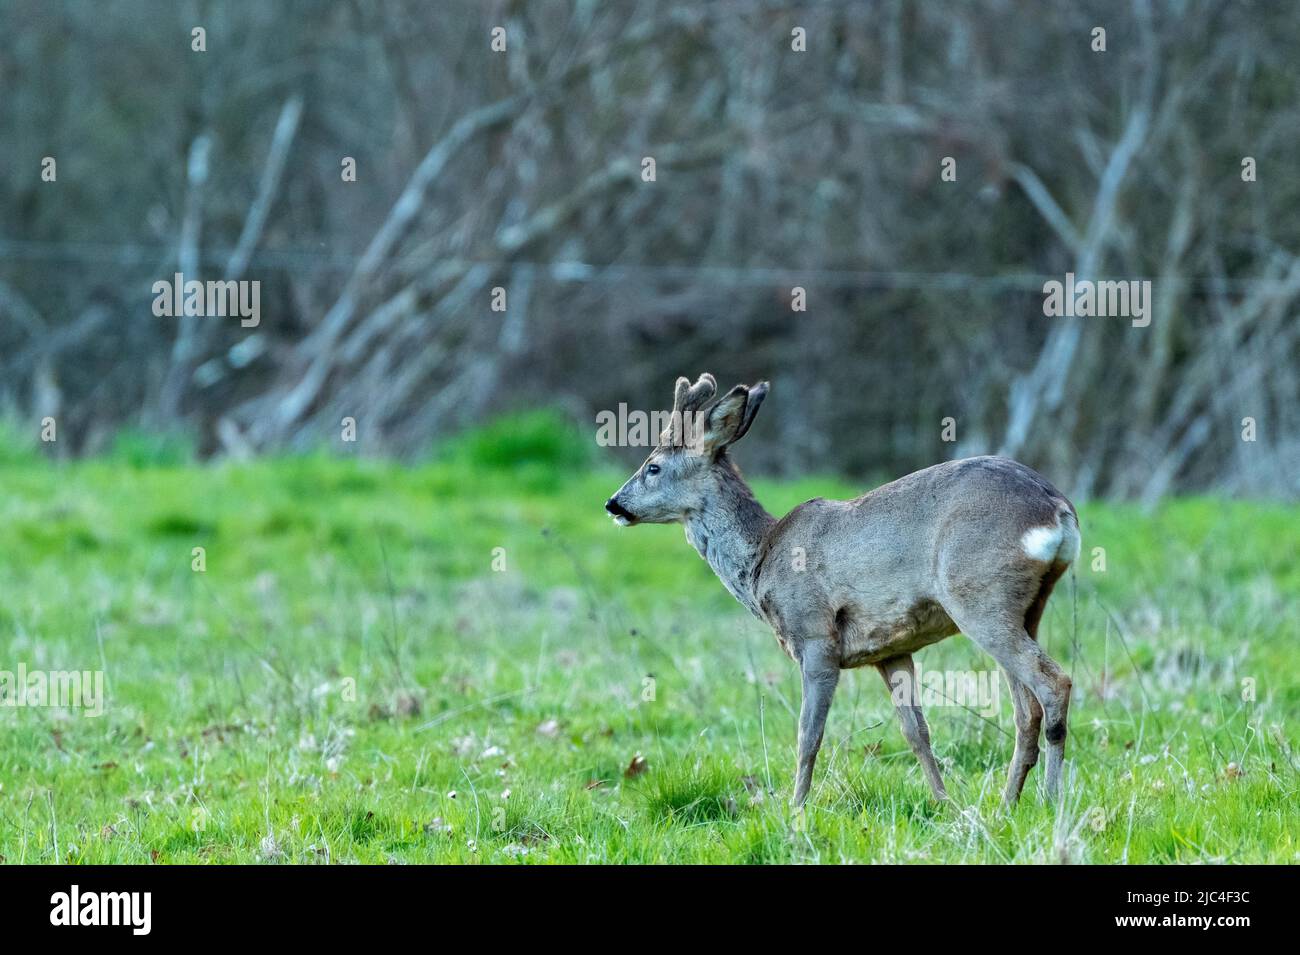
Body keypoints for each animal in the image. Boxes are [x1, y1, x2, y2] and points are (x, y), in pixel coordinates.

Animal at [603, 376, 1081, 810]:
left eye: (652, 466)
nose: (613, 504)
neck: (763, 559)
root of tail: (1058, 509)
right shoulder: (891, 649)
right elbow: (917, 733)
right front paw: (946, 804)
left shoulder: (814, 636)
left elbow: (807, 734)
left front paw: (795, 810)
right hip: (1028, 606)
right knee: (1026, 710)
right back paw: (1007, 804)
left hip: (978, 594)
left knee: (1053, 682)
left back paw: (1051, 801)